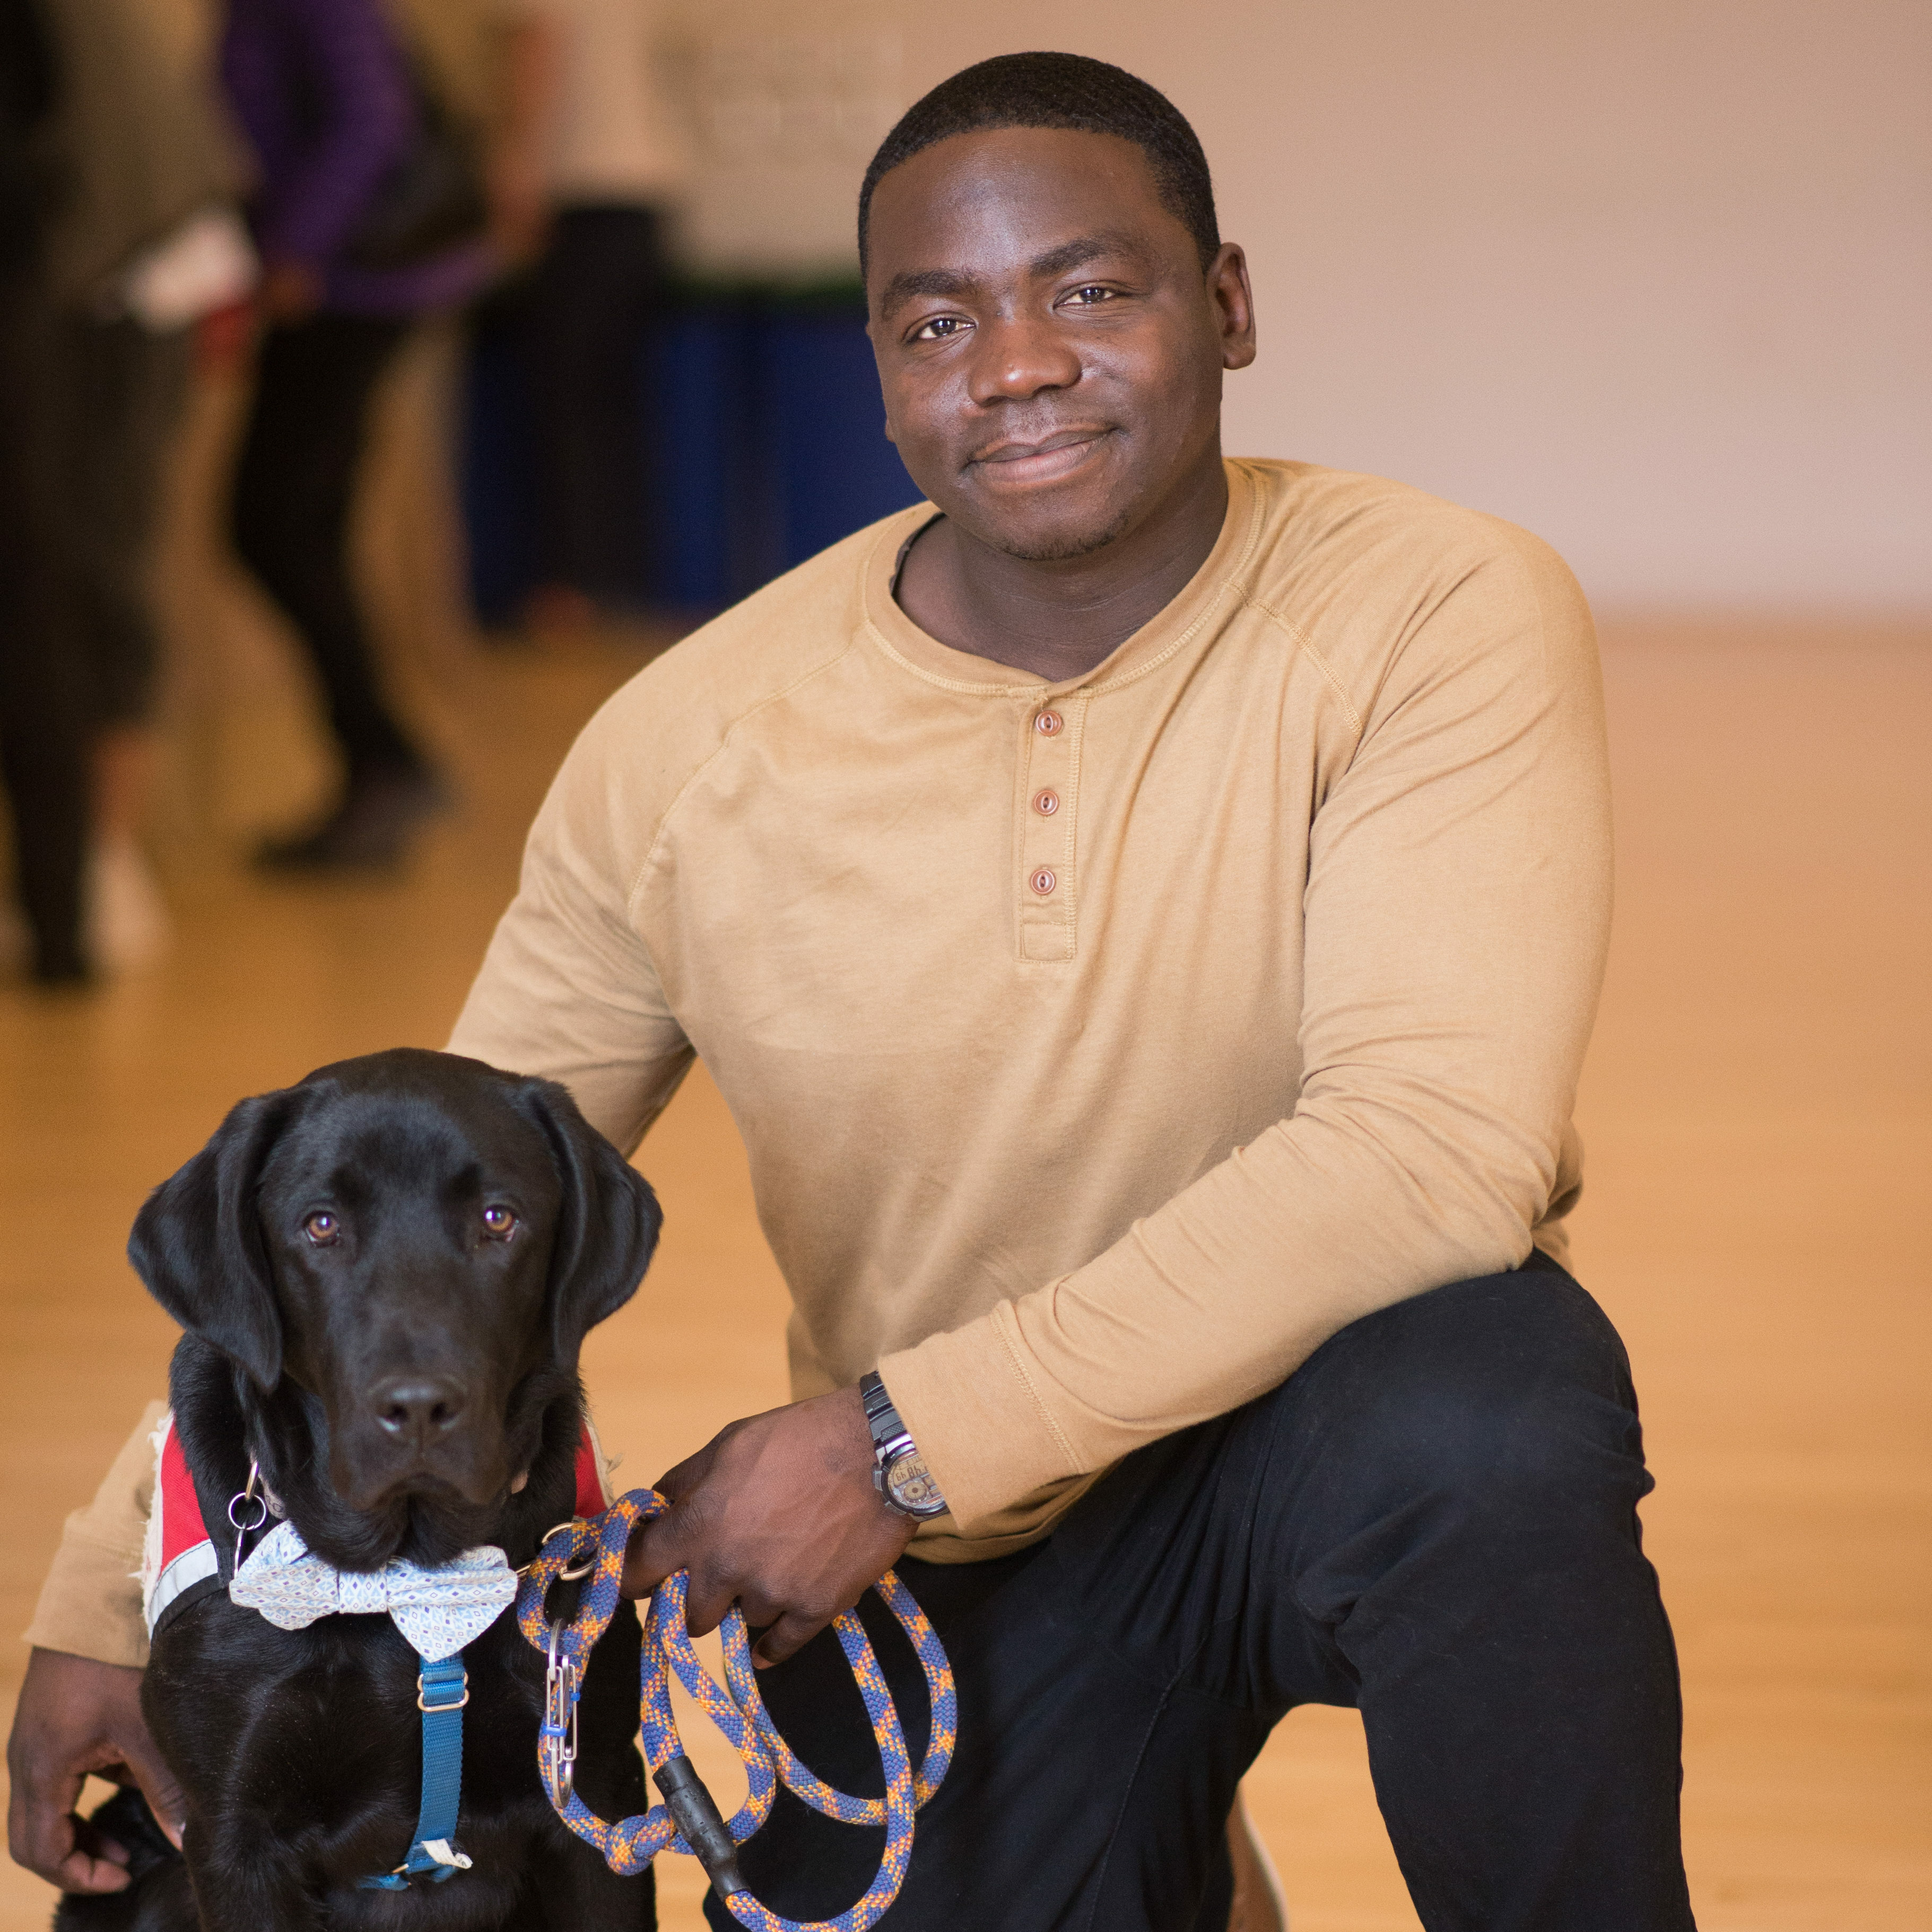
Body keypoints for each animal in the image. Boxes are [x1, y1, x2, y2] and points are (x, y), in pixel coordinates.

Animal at [58, 1058, 664, 1932]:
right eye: (320, 1225)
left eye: (499, 1219)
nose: (418, 1406)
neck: (406, 1573)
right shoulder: (235, 1839)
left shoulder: (592, 1792)